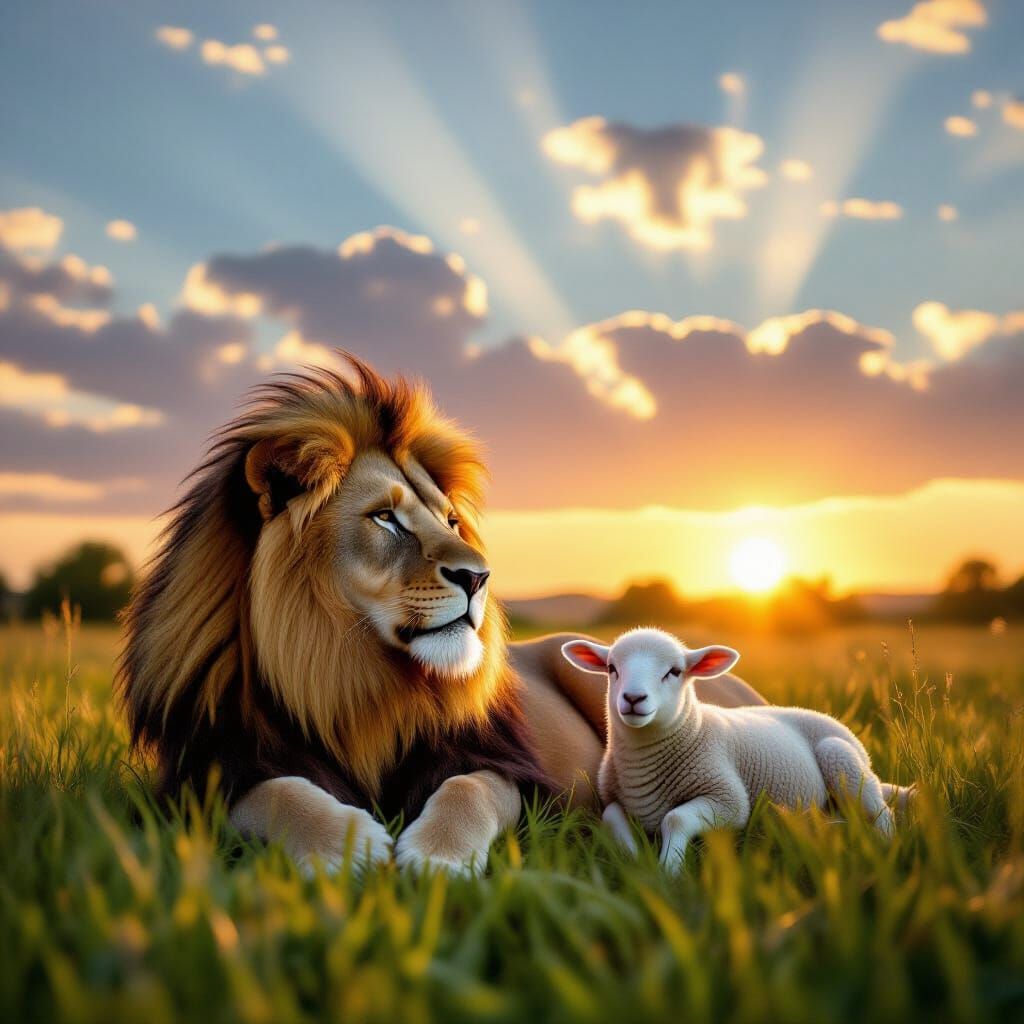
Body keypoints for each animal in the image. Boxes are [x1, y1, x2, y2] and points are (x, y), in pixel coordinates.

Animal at [118, 353, 765, 874]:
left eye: (450, 520)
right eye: (385, 518)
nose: (479, 577)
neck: (347, 675)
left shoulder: (503, 767)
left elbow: (466, 792)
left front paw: (435, 860)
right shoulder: (209, 771)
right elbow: (280, 794)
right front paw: (348, 846)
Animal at [562, 628, 912, 869]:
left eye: (674, 671)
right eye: (611, 668)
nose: (634, 698)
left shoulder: (729, 798)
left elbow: (675, 819)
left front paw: (668, 869)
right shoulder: (614, 798)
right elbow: (610, 816)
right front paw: (634, 862)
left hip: (843, 761)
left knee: (881, 812)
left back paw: (882, 847)